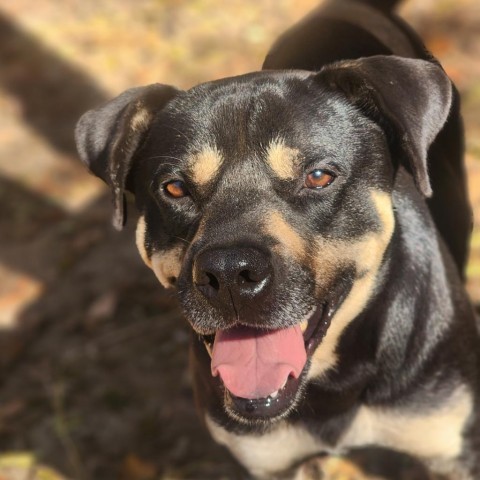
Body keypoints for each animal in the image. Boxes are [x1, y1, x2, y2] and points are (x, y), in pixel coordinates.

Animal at [75, 0, 480, 478]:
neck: (331, 386)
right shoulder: (268, 459)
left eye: (319, 176)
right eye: (174, 188)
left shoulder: (449, 444)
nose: (229, 274)